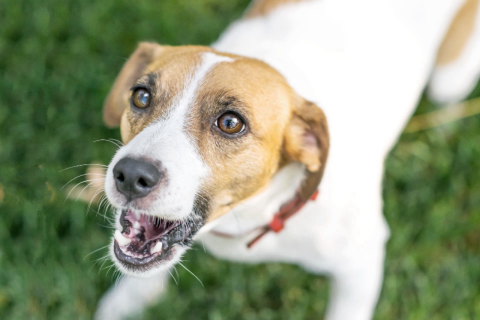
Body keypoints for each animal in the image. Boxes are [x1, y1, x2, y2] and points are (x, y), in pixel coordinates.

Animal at [94, 1, 480, 318]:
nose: (130, 175)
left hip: (447, 81)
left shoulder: (360, 265)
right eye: (141, 96)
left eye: (230, 123)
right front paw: (129, 300)